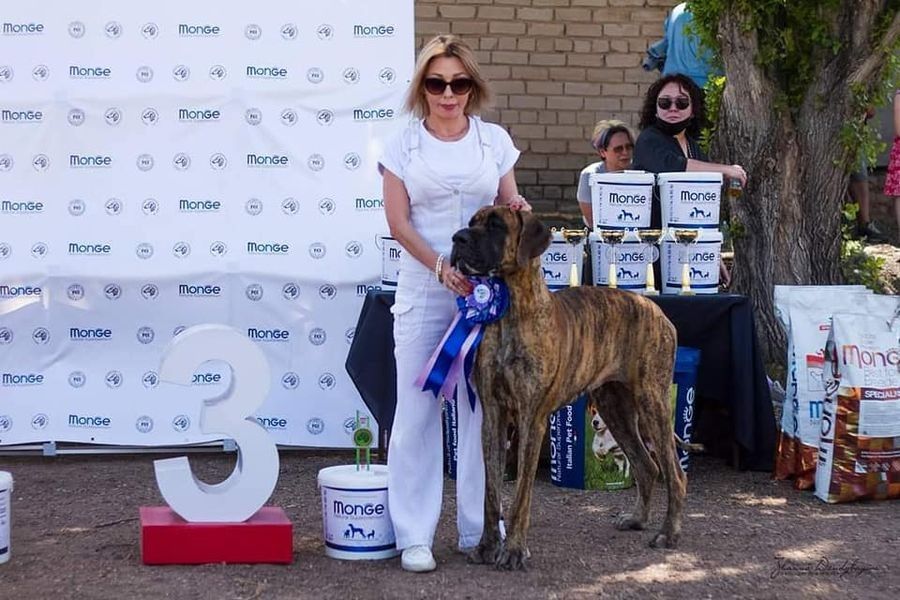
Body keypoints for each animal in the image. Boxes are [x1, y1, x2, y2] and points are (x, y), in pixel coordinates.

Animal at [450, 206, 685, 570]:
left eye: (496, 225)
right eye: (472, 222)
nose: (457, 238)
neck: (511, 313)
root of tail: (656, 310)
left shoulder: (531, 419)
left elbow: (521, 494)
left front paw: (513, 549)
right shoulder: (494, 416)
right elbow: (491, 492)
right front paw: (487, 546)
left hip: (652, 403)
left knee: (674, 474)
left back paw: (668, 533)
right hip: (614, 407)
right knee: (647, 466)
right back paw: (636, 519)